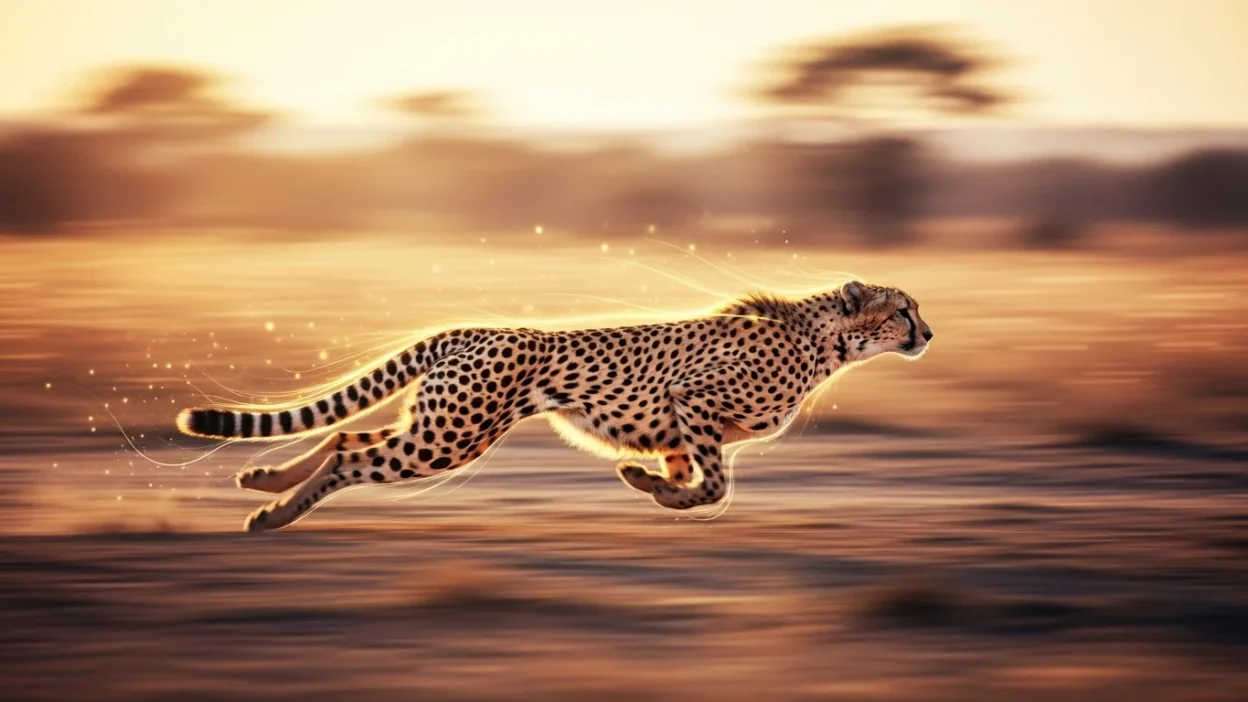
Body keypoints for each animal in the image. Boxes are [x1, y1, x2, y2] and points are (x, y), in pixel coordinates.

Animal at [175, 280, 933, 531]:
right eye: (903, 310)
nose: (927, 334)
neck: (825, 340)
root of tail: (475, 328)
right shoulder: (691, 400)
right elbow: (716, 487)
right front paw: (651, 485)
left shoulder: (678, 428)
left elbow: (693, 478)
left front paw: (648, 484)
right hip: (449, 438)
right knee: (352, 459)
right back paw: (273, 515)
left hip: (440, 425)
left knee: (344, 440)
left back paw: (263, 482)